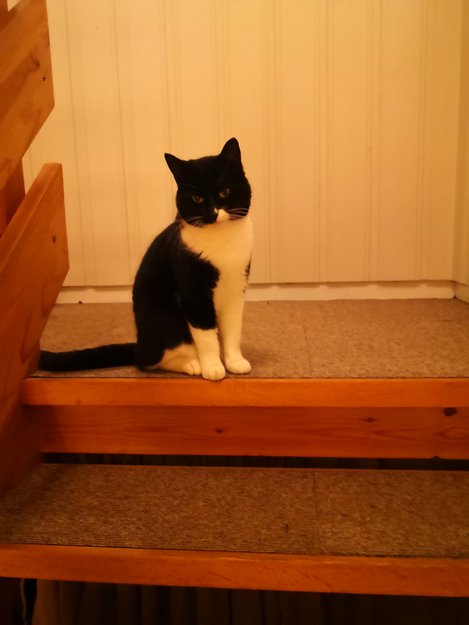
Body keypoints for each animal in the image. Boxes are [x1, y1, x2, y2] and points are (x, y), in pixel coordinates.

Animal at [39, 137, 253, 381]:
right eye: (197, 198)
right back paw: (192, 364)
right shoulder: (194, 292)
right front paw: (213, 367)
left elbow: (232, 329)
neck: (222, 241)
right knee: (149, 361)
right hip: (165, 317)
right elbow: (206, 334)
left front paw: (235, 361)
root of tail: (139, 345)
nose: (214, 213)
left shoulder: (236, 287)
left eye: (225, 192)